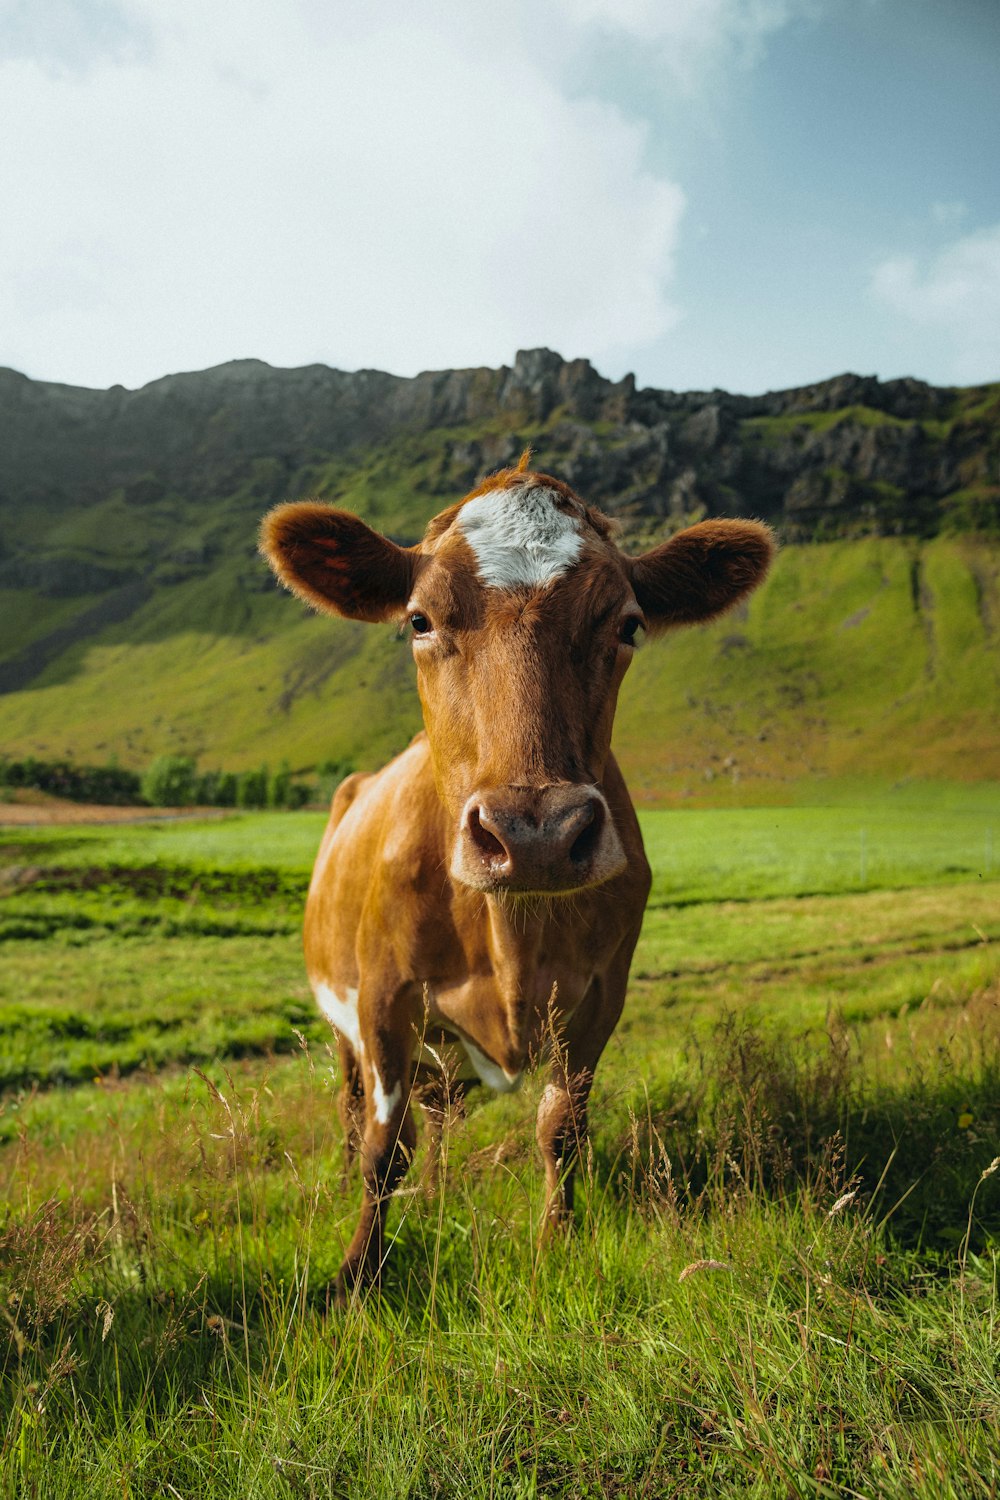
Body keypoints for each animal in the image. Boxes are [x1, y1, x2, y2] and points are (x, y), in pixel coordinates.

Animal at [260, 459, 773, 1302]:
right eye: (419, 621)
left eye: (628, 624)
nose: (535, 835)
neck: (512, 936)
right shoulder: (382, 1002)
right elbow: (381, 1150)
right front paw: (357, 1273)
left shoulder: (599, 998)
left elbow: (559, 1128)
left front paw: (555, 1243)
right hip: (343, 1021)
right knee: (353, 1108)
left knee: (439, 1115)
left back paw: (439, 1191)